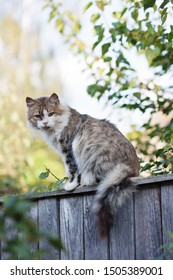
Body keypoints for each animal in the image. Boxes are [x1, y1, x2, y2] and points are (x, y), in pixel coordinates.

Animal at [26, 93, 139, 237]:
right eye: (38, 116)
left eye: (50, 114)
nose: (45, 122)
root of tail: (132, 167)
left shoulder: (68, 149)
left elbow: (71, 170)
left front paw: (71, 185)